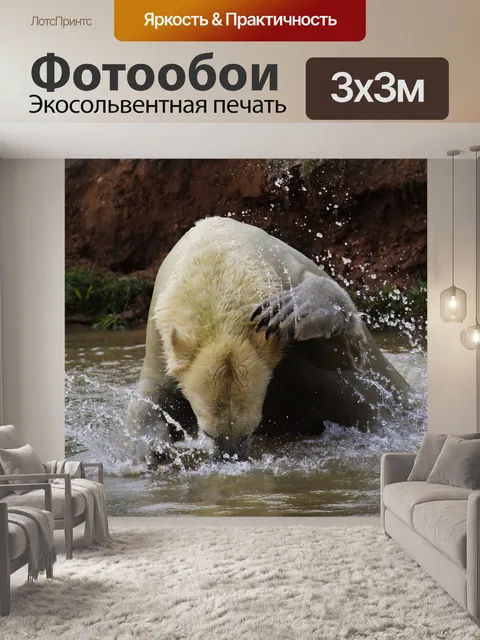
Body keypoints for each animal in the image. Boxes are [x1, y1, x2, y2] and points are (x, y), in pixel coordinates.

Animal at [126, 216, 412, 466]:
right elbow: (154, 393)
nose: (231, 458)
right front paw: (153, 451)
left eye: (250, 429)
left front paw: (294, 309)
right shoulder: (159, 329)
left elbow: (347, 355)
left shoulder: (287, 270)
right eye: (208, 433)